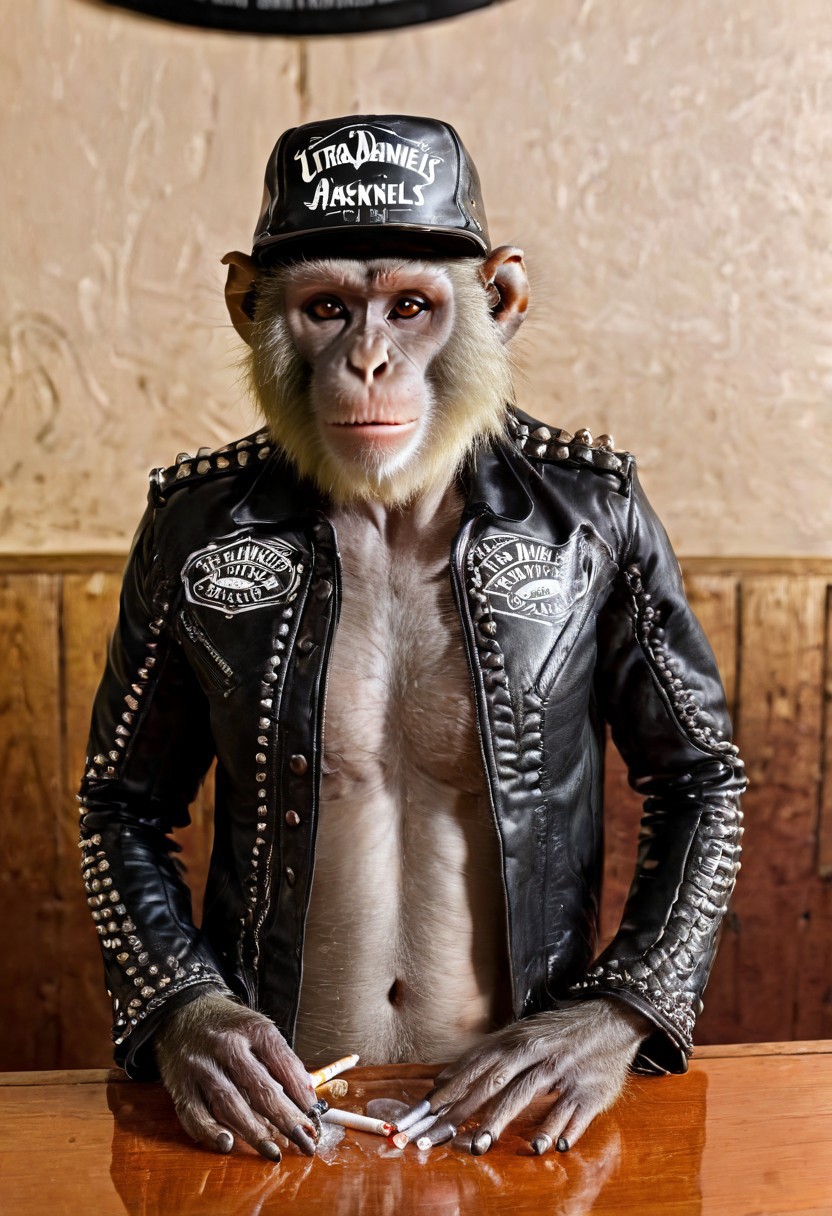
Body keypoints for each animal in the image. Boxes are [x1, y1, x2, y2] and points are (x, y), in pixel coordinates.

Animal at [79, 114, 744, 1164]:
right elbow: (124, 795)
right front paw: (212, 1046)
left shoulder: (633, 526)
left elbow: (695, 770)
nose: (367, 363)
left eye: (409, 306)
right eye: (324, 308)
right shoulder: (158, 544)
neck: (393, 508)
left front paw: (571, 1047)